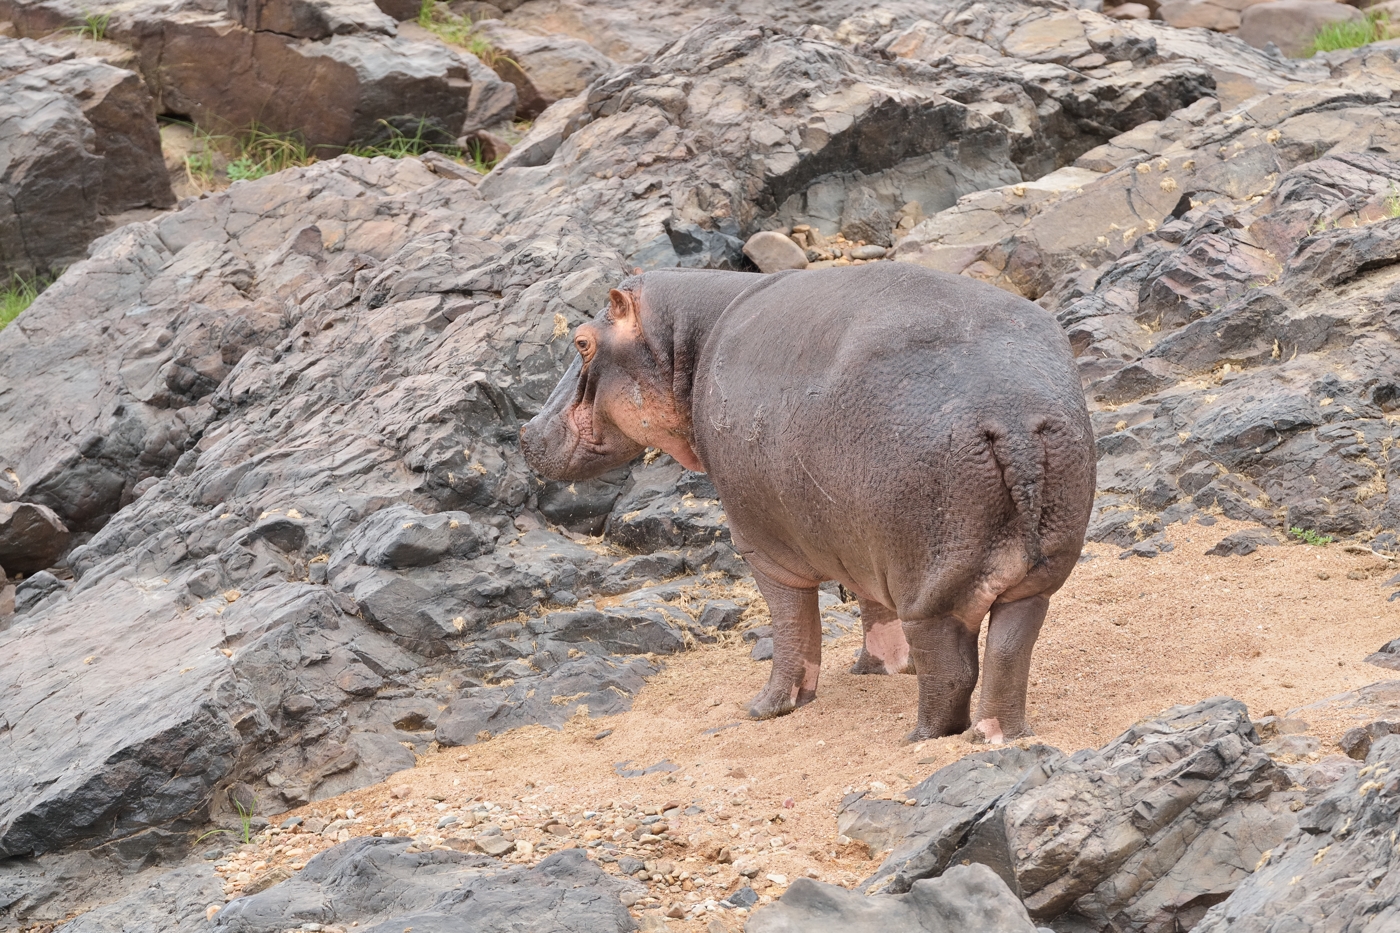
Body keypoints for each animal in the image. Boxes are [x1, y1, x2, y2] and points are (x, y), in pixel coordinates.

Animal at [520, 264, 1095, 742]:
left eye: (581, 343)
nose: (525, 431)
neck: (683, 339)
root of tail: (1011, 415)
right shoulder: (859, 540)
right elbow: (870, 604)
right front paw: (876, 668)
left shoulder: (763, 546)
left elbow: (792, 627)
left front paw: (765, 708)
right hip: (1029, 573)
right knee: (1009, 651)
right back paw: (995, 734)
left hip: (929, 582)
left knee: (953, 669)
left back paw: (921, 738)